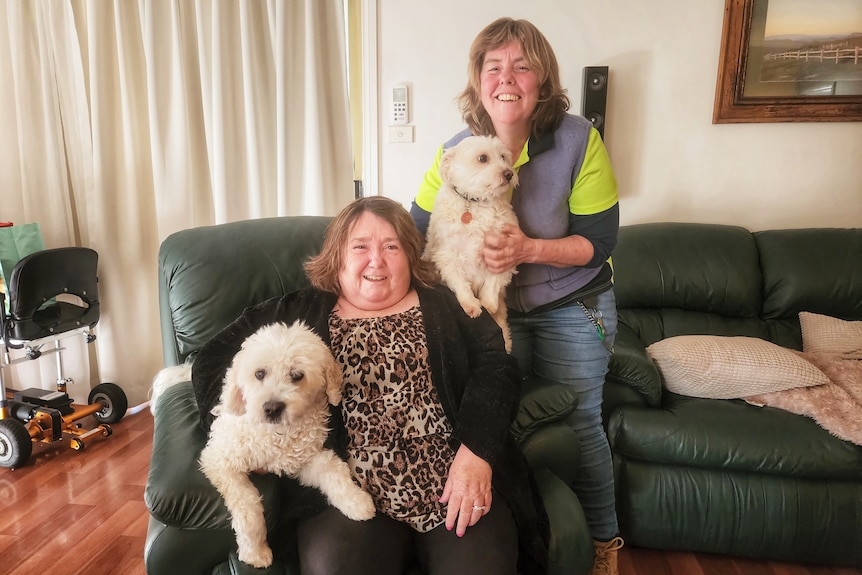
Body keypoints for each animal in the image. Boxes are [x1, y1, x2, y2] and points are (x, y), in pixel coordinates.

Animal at [197, 322, 376, 568]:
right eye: (259, 373)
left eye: (297, 375)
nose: (272, 408)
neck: (278, 435)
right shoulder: (219, 460)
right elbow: (248, 505)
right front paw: (255, 551)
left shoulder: (307, 459)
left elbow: (334, 471)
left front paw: (357, 502)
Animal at [426, 135, 520, 352]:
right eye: (482, 158)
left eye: (503, 157)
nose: (509, 174)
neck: (476, 204)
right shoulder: (447, 257)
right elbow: (461, 284)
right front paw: (472, 305)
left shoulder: (503, 256)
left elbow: (492, 285)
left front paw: (488, 304)